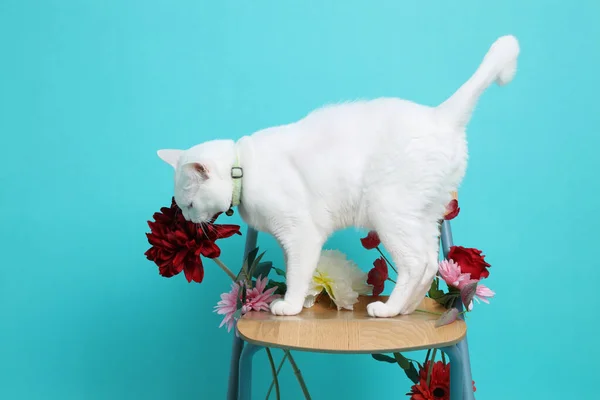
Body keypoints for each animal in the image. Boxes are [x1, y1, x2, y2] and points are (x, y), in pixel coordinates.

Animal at [158, 35, 520, 318]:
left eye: (189, 205)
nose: (188, 220)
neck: (242, 168)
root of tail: (439, 115)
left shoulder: (300, 234)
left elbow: (297, 272)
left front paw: (290, 305)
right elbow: (301, 273)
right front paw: (302, 301)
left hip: (390, 211)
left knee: (416, 263)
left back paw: (388, 309)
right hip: (424, 216)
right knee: (431, 263)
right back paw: (404, 309)